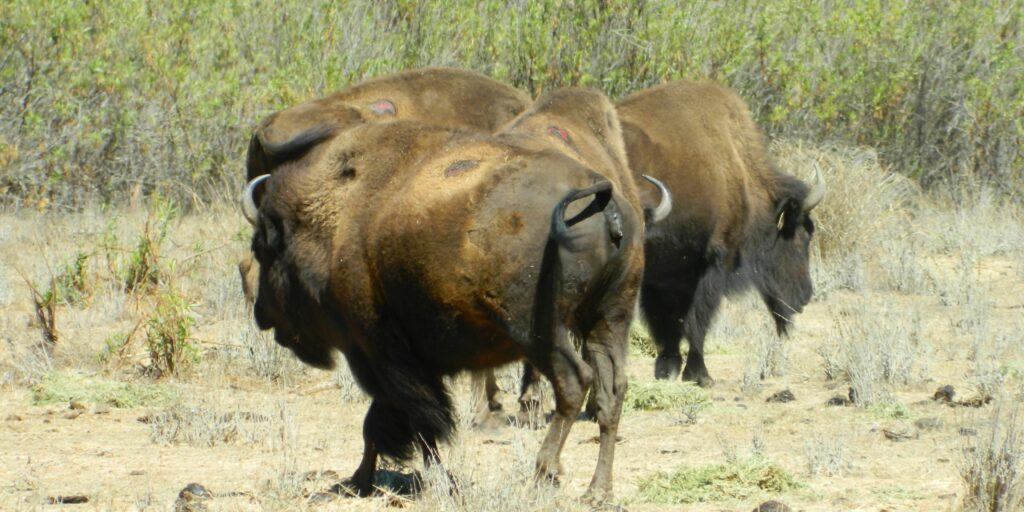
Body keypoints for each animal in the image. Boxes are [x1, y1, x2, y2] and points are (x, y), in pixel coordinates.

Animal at [610, 79, 827, 385]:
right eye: (800, 238)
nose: (805, 296)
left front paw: (668, 369)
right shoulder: (714, 261)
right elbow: (696, 319)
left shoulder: (666, 272)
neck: (739, 170)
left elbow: (669, 322)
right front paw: (700, 375)